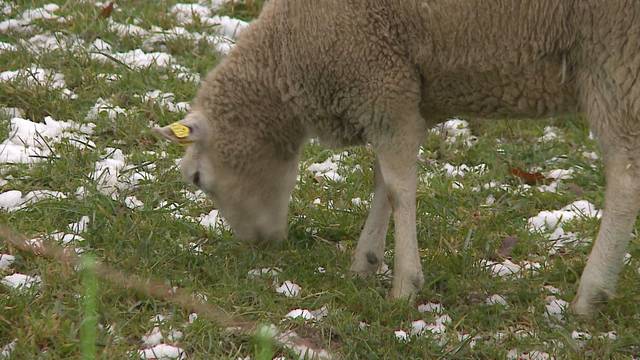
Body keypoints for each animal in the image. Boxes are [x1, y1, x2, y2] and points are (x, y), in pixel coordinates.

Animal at [154, 0, 640, 316]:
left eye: (196, 178)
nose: (257, 248)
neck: (289, 56)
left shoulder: (383, 84)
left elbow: (400, 188)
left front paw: (405, 285)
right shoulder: (396, 95)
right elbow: (381, 182)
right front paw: (365, 263)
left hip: (615, 54)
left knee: (625, 177)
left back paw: (591, 294)